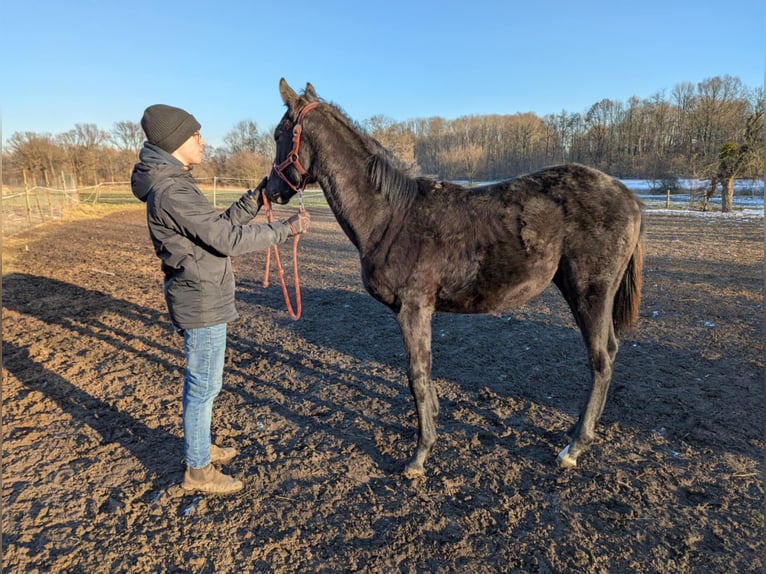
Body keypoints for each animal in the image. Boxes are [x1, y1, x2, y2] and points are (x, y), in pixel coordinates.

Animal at [268, 79, 644, 480]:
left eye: (278, 134)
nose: (271, 190)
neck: (390, 216)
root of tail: (629, 196)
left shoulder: (413, 308)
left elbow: (416, 373)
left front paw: (420, 454)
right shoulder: (419, 310)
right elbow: (425, 370)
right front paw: (432, 423)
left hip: (590, 293)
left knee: (600, 359)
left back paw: (575, 447)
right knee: (610, 352)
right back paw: (577, 432)